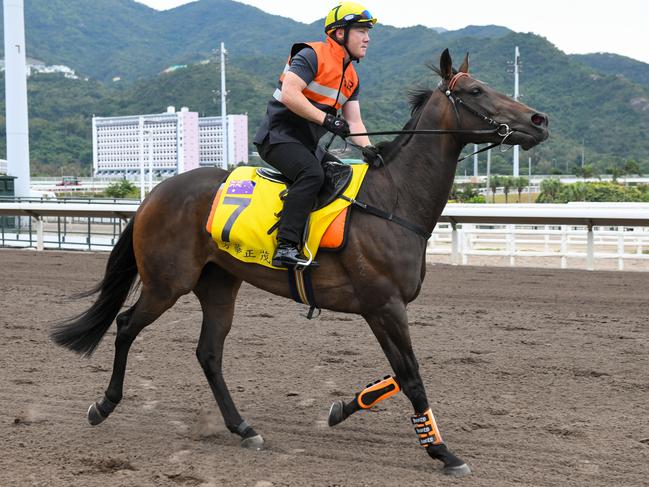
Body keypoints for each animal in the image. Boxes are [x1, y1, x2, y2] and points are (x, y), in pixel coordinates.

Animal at [52, 49, 548, 476]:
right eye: (476, 91)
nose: (538, 120)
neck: (392, 201)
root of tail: (154, 194)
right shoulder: (384, 306)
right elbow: (410, 375)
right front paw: (443, 451)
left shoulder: (384, 309)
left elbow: (398, 373)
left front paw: (343, 408)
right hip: (165, 283)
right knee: (125, 326)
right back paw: (104, 405)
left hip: (218, 285)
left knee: (208, 352)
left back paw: (243, 428)